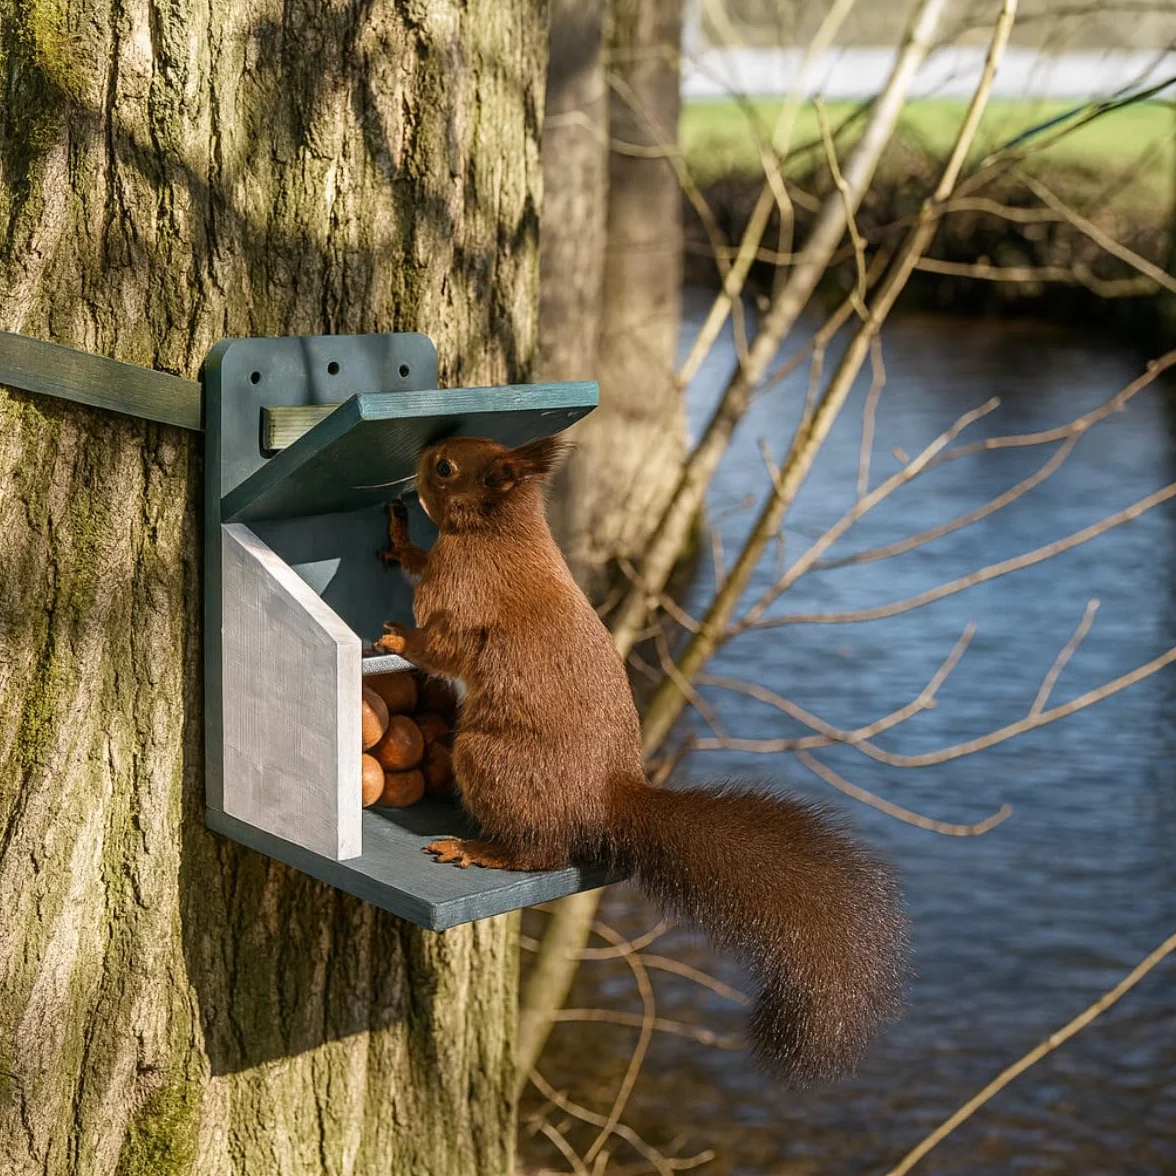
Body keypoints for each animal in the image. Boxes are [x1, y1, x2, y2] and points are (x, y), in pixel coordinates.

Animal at [373, 434, 909, 1086]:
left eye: (447, 468)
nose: (422, 454)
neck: (500, 530)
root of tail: (606, 796)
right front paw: (401, 541)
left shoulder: (463, 588)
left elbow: (445, 645)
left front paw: (399, 638)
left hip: (486, 759)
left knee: (540, 852)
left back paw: (477, 848)